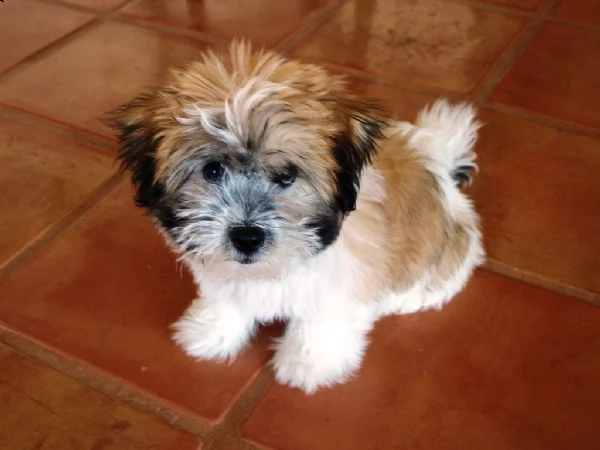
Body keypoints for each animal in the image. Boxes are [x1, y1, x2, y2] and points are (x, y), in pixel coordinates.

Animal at [105, 42, 486, 394]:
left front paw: (308, 363)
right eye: (212, 170)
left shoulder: (340, 284)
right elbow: (226, 298)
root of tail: (436, 157)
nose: (246, 237)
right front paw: (211, 331)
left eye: (287, 175)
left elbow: (320, 323)